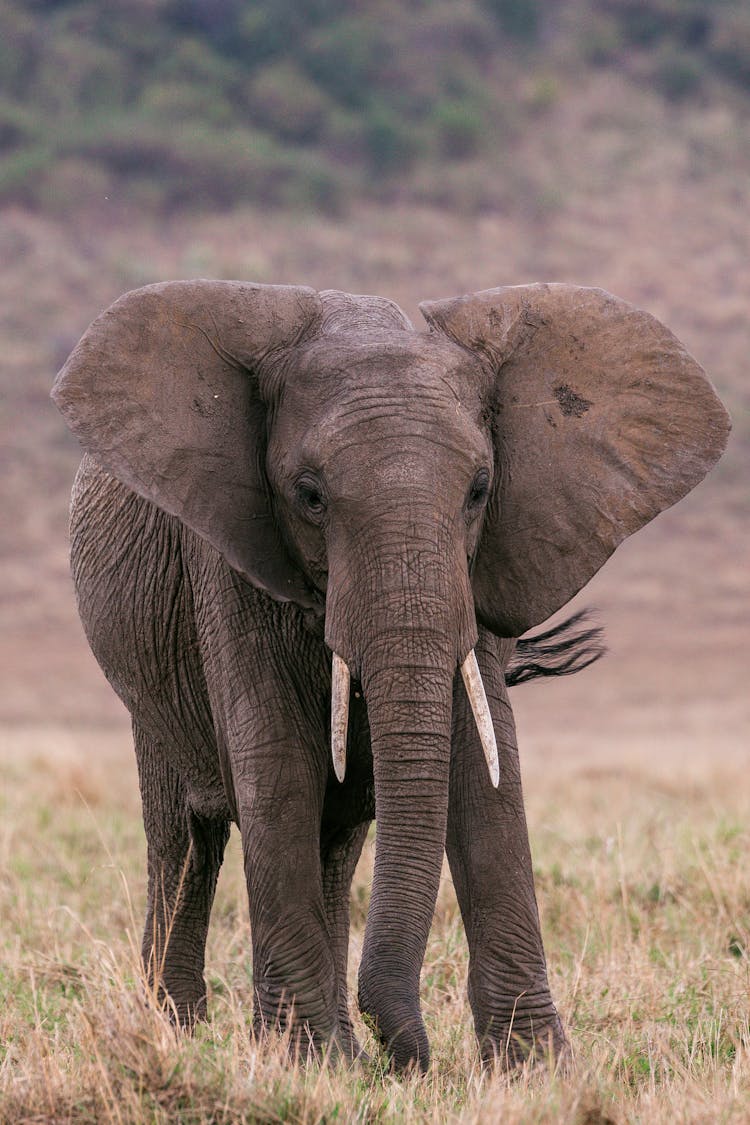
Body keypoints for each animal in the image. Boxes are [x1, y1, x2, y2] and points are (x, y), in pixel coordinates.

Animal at [51, 281, 728, 1071]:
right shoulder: (224, 557)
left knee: (333, 844)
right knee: (186, 838)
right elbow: (275, 765)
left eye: (480, 489)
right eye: (309, 494)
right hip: (148, 690)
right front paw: (301, 1062)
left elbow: (486, 771)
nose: (408, 1059)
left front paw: (534, 1067)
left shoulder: (481, 567)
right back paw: (183, 1033)